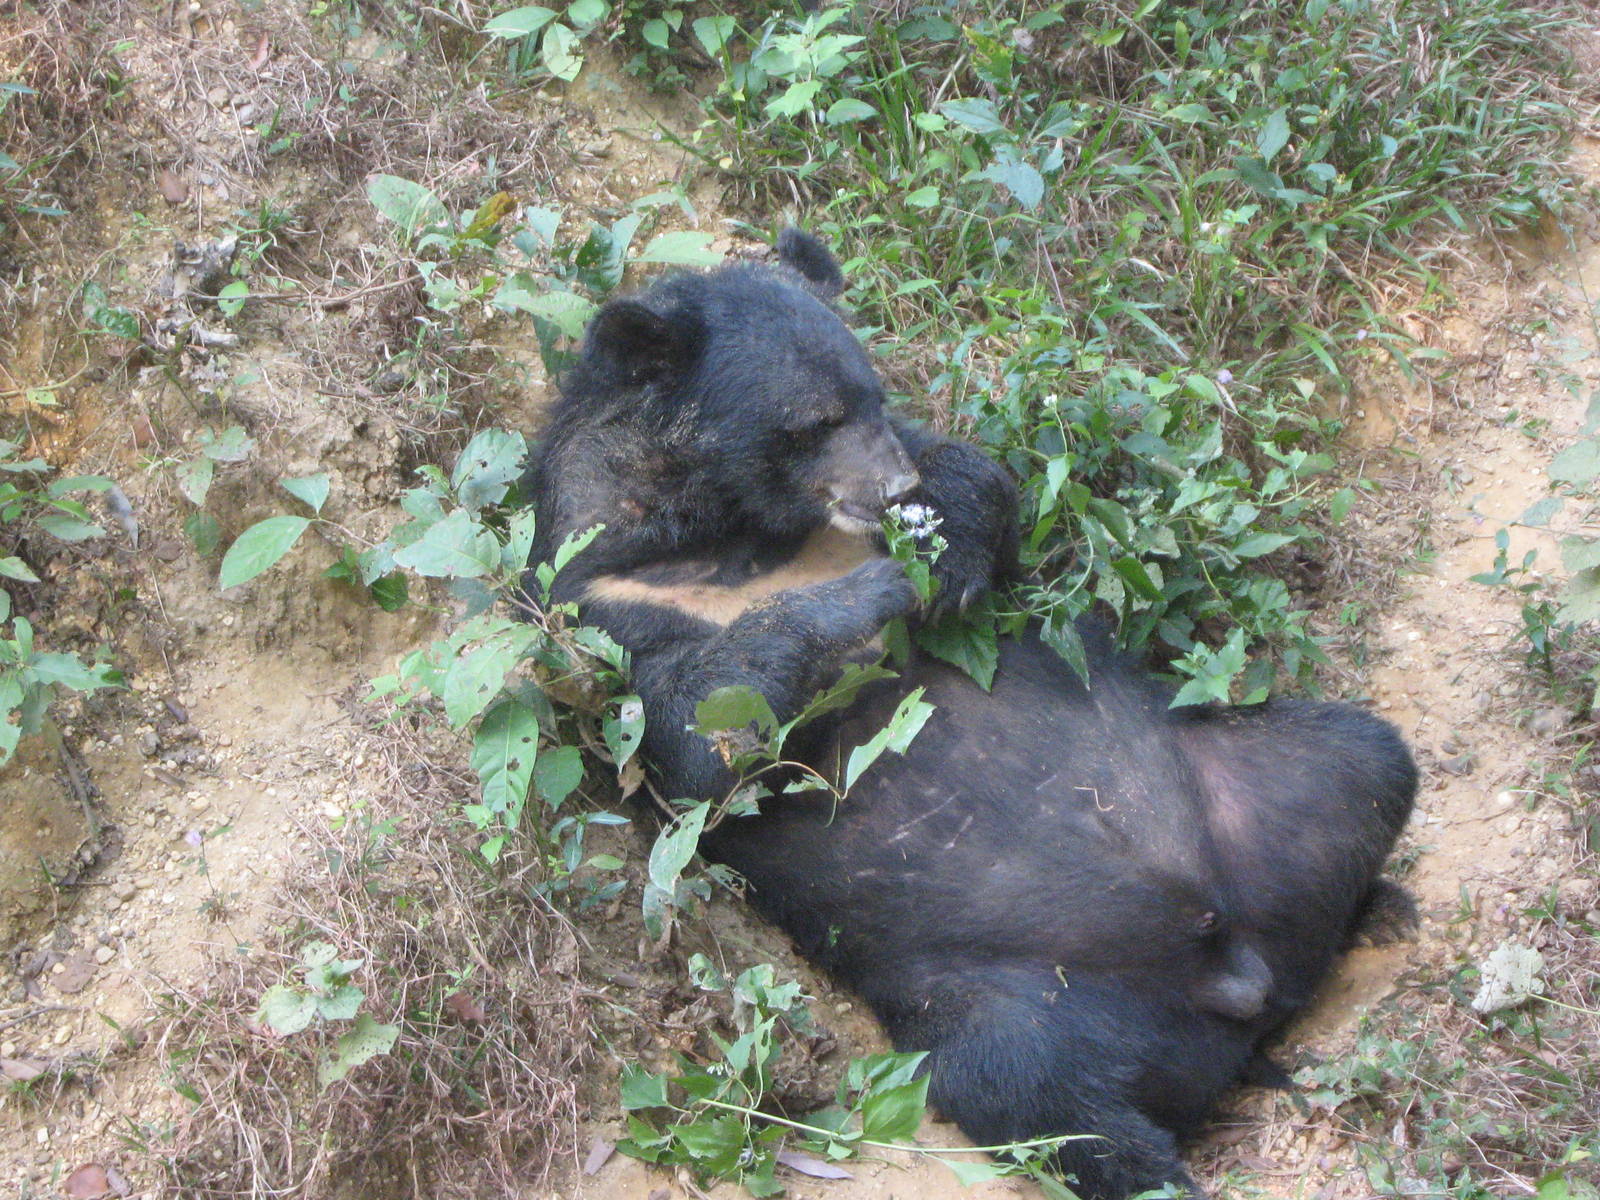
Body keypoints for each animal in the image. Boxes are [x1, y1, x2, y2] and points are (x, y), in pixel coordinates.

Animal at [522, 229, 1417, 1200]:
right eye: (809, 423)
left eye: (873, 395)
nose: (888, 487)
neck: (733, 536)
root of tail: (1239, 985)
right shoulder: (598, 616)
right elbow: (696, 737)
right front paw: (867, 595)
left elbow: (990, 487)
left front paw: (940, 540)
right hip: (1000, 988)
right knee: (1029, 1087)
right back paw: (1153, 1162)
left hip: (1259, 788)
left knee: (1367, 757)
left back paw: (1378, 905)